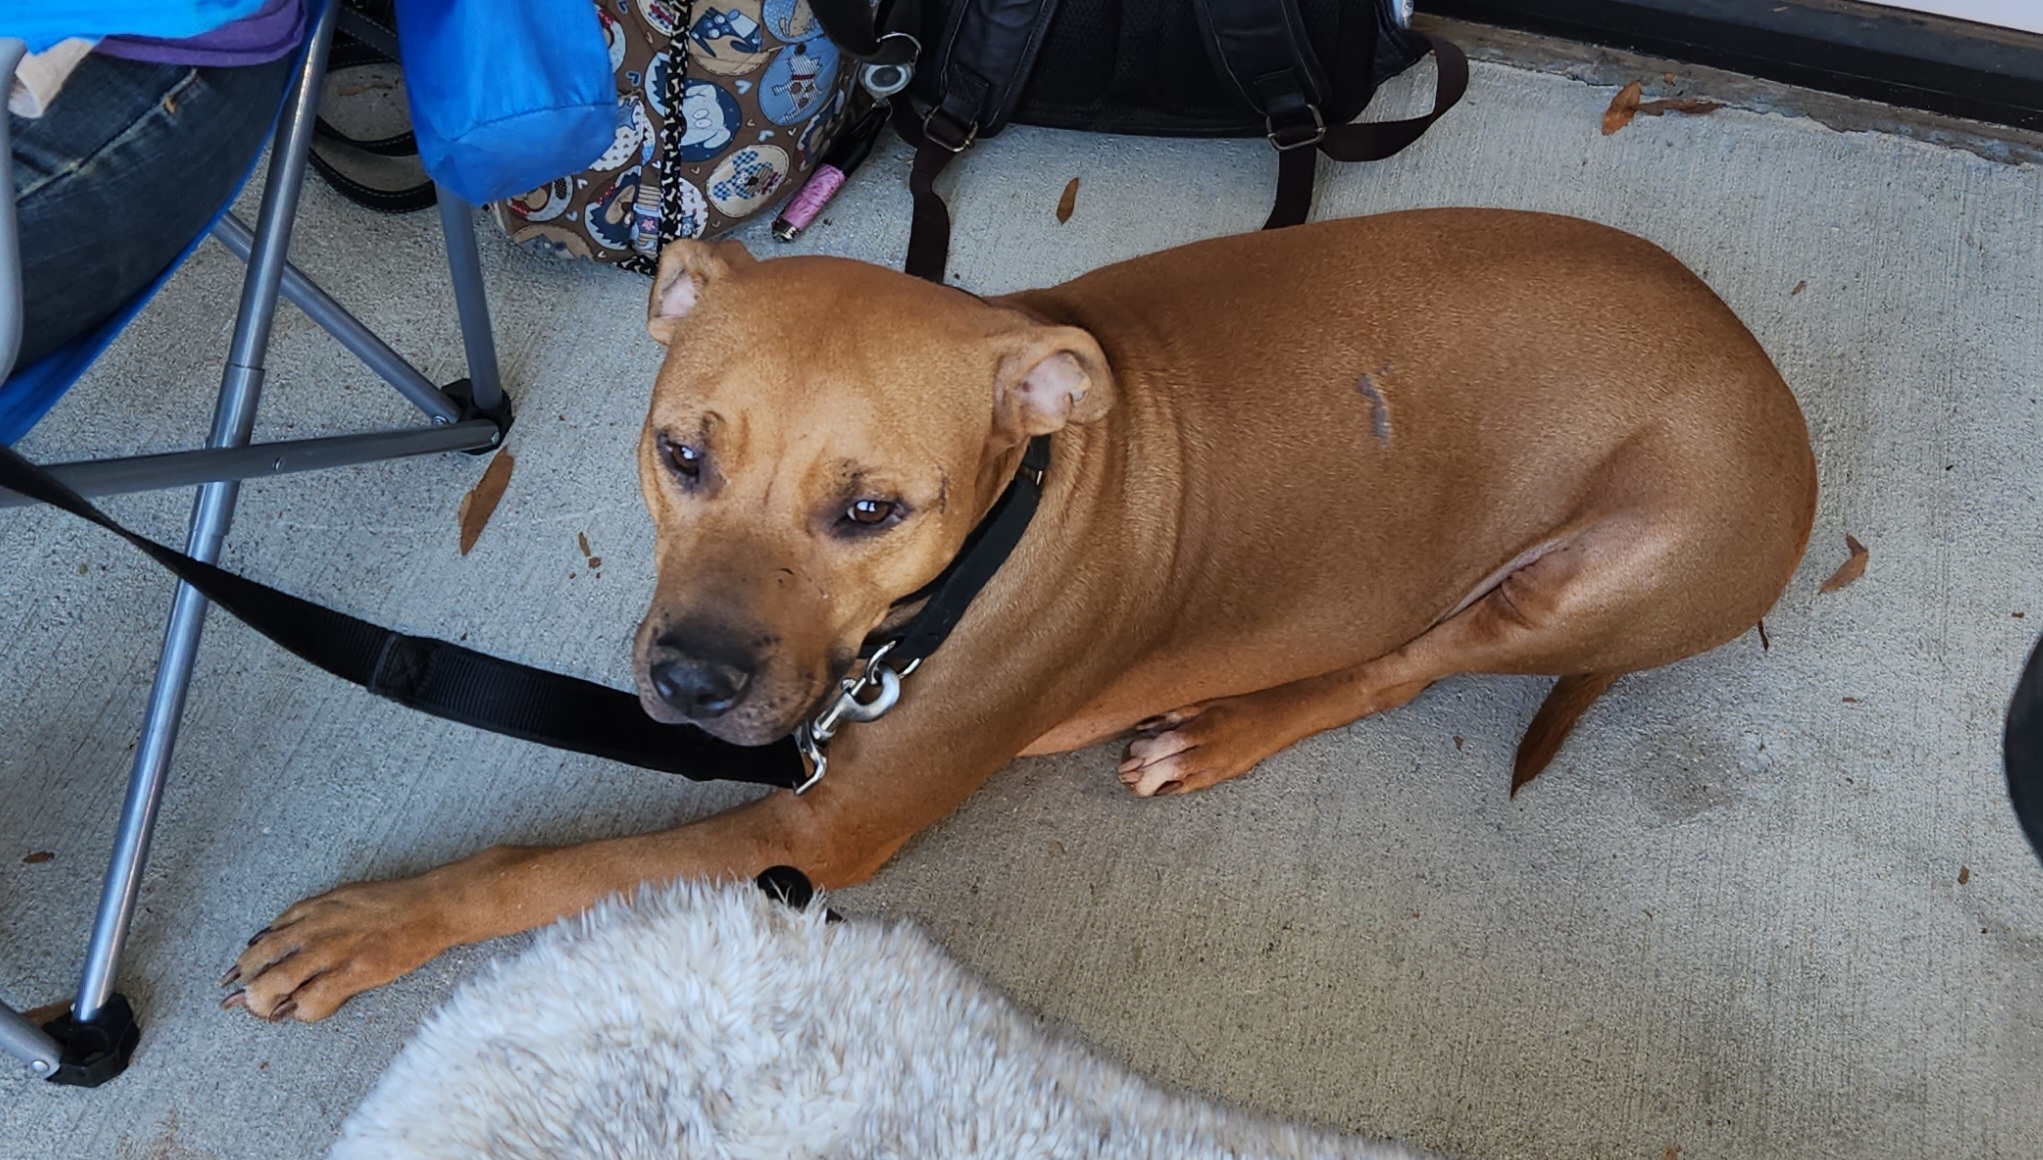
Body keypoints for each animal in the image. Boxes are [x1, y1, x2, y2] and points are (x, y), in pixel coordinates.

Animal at [227, 210, 1822, 1025]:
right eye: (679, 454)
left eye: (871, 508)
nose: (689, 680)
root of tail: (1773, 394)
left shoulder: (819, 829)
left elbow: (550, 865)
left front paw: (382, 921)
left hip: (1592, 573)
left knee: (1402, 667)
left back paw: (1221, 731)